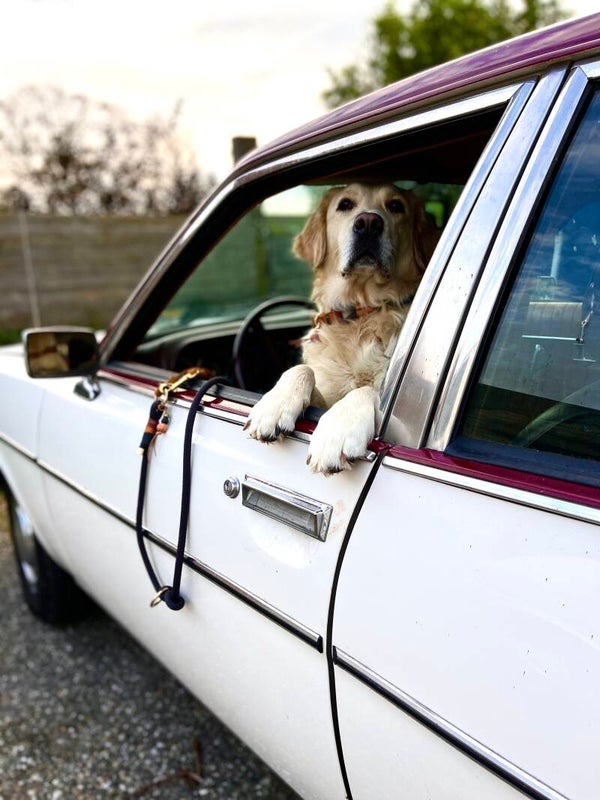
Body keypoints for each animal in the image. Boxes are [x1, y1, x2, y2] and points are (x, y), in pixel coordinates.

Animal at [244, 183, 436, 476]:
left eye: (395, 206)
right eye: (345, 204)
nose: (368, 223)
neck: (360, 311)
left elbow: (367, 390)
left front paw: (337, 430)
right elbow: (301, 369)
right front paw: (273, 405)